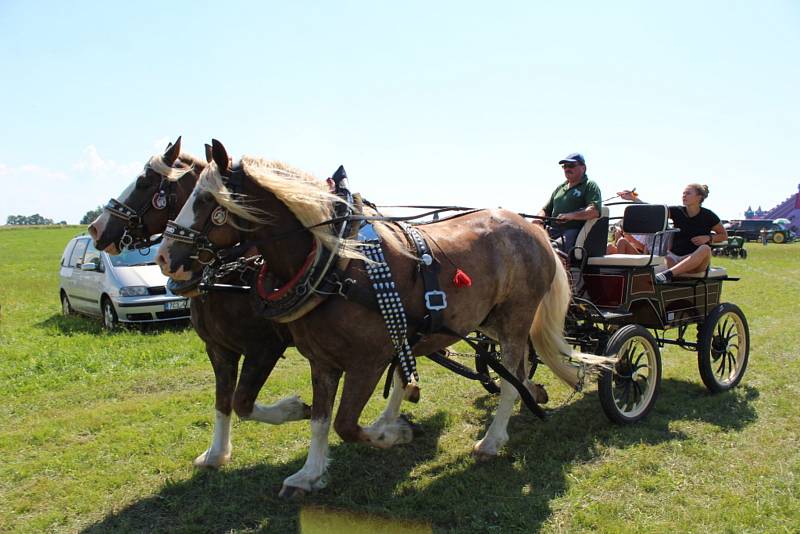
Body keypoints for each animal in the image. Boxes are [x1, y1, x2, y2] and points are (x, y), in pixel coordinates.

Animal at [89, 138, 308, 468]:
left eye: (143, 182)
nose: (96, 228)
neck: (230, 273)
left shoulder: (264, 347)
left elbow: (243, 402)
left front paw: (294, 409)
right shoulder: (219, 349)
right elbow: (224, 400)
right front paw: (216, 453)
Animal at [155, 140, 592, 500]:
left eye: (208, 201)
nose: (164, 258)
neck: (336, 265)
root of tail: (533, 229)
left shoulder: (365, 361)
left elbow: (346, 426)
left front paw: (395, 433)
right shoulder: (321, 360)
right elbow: (319, 418)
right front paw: (309, 473)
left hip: (516, 318)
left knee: (511, 374)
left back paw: (492, 439)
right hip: (484, 321)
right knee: (514, 369)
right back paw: (530, 396)